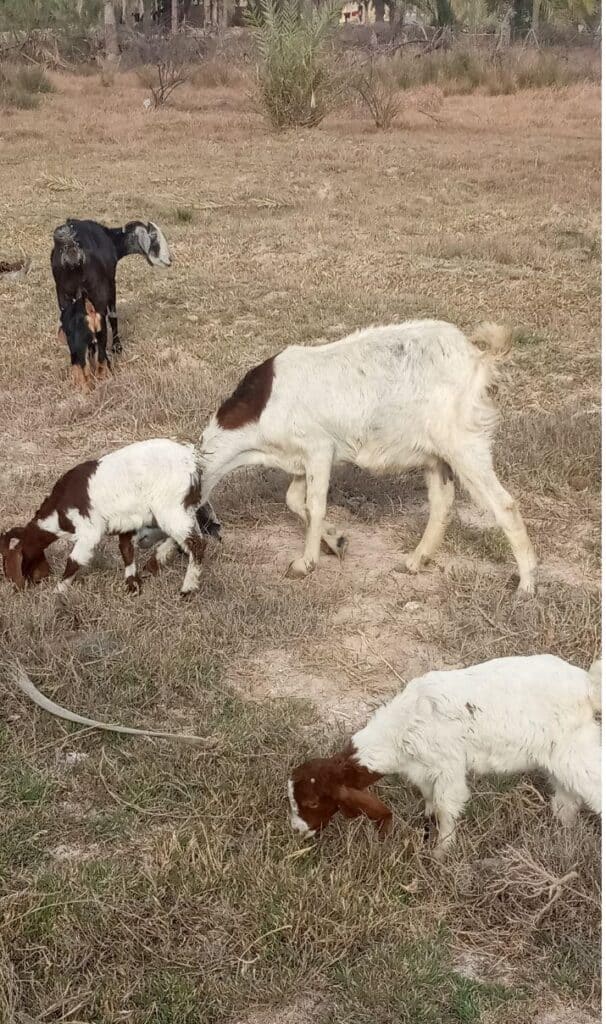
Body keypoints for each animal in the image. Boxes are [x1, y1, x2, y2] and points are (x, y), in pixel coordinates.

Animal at [0, 438, 218, 598]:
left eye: (7, 563)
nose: (16, 587)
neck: (58, 513)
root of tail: (192, 459)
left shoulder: (89, 529)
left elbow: (75, 560)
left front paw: (58, 591)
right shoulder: (126, 524)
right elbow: (126, 550)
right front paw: (133, 585)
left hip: (170, 508)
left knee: (197, 543)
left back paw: (187, 588)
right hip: (183, 508)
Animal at [50, 216, 171, 356]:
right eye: (154, 237)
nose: (169, 260)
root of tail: (71, 249)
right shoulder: (111, 282)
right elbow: (113, 315)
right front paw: (117, 347)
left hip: (64, 295)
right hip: (98, 294)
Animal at [201, 317, 536, 593]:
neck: (258, 415)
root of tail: (477, 358)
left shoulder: (319, 448)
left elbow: (314, 505)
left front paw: (305, 563)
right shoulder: (299, 460)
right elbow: (294, 500)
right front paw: (337, 541)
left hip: (463, 443)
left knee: (503, 504)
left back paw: (526, 585)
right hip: (436, 456)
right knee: (442, 504)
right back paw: (416, 561)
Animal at [288, 655, 601, 856]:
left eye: (312, 802)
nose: (297, 830)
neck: (403, 726)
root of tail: (587, 684)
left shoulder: (448, 766)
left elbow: (445, 807)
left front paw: (441, 852)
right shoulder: (423, 771)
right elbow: (429, 802)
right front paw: (426, 832)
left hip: (574, 746)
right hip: (557, 753)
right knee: (567, 794)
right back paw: (563, 828)